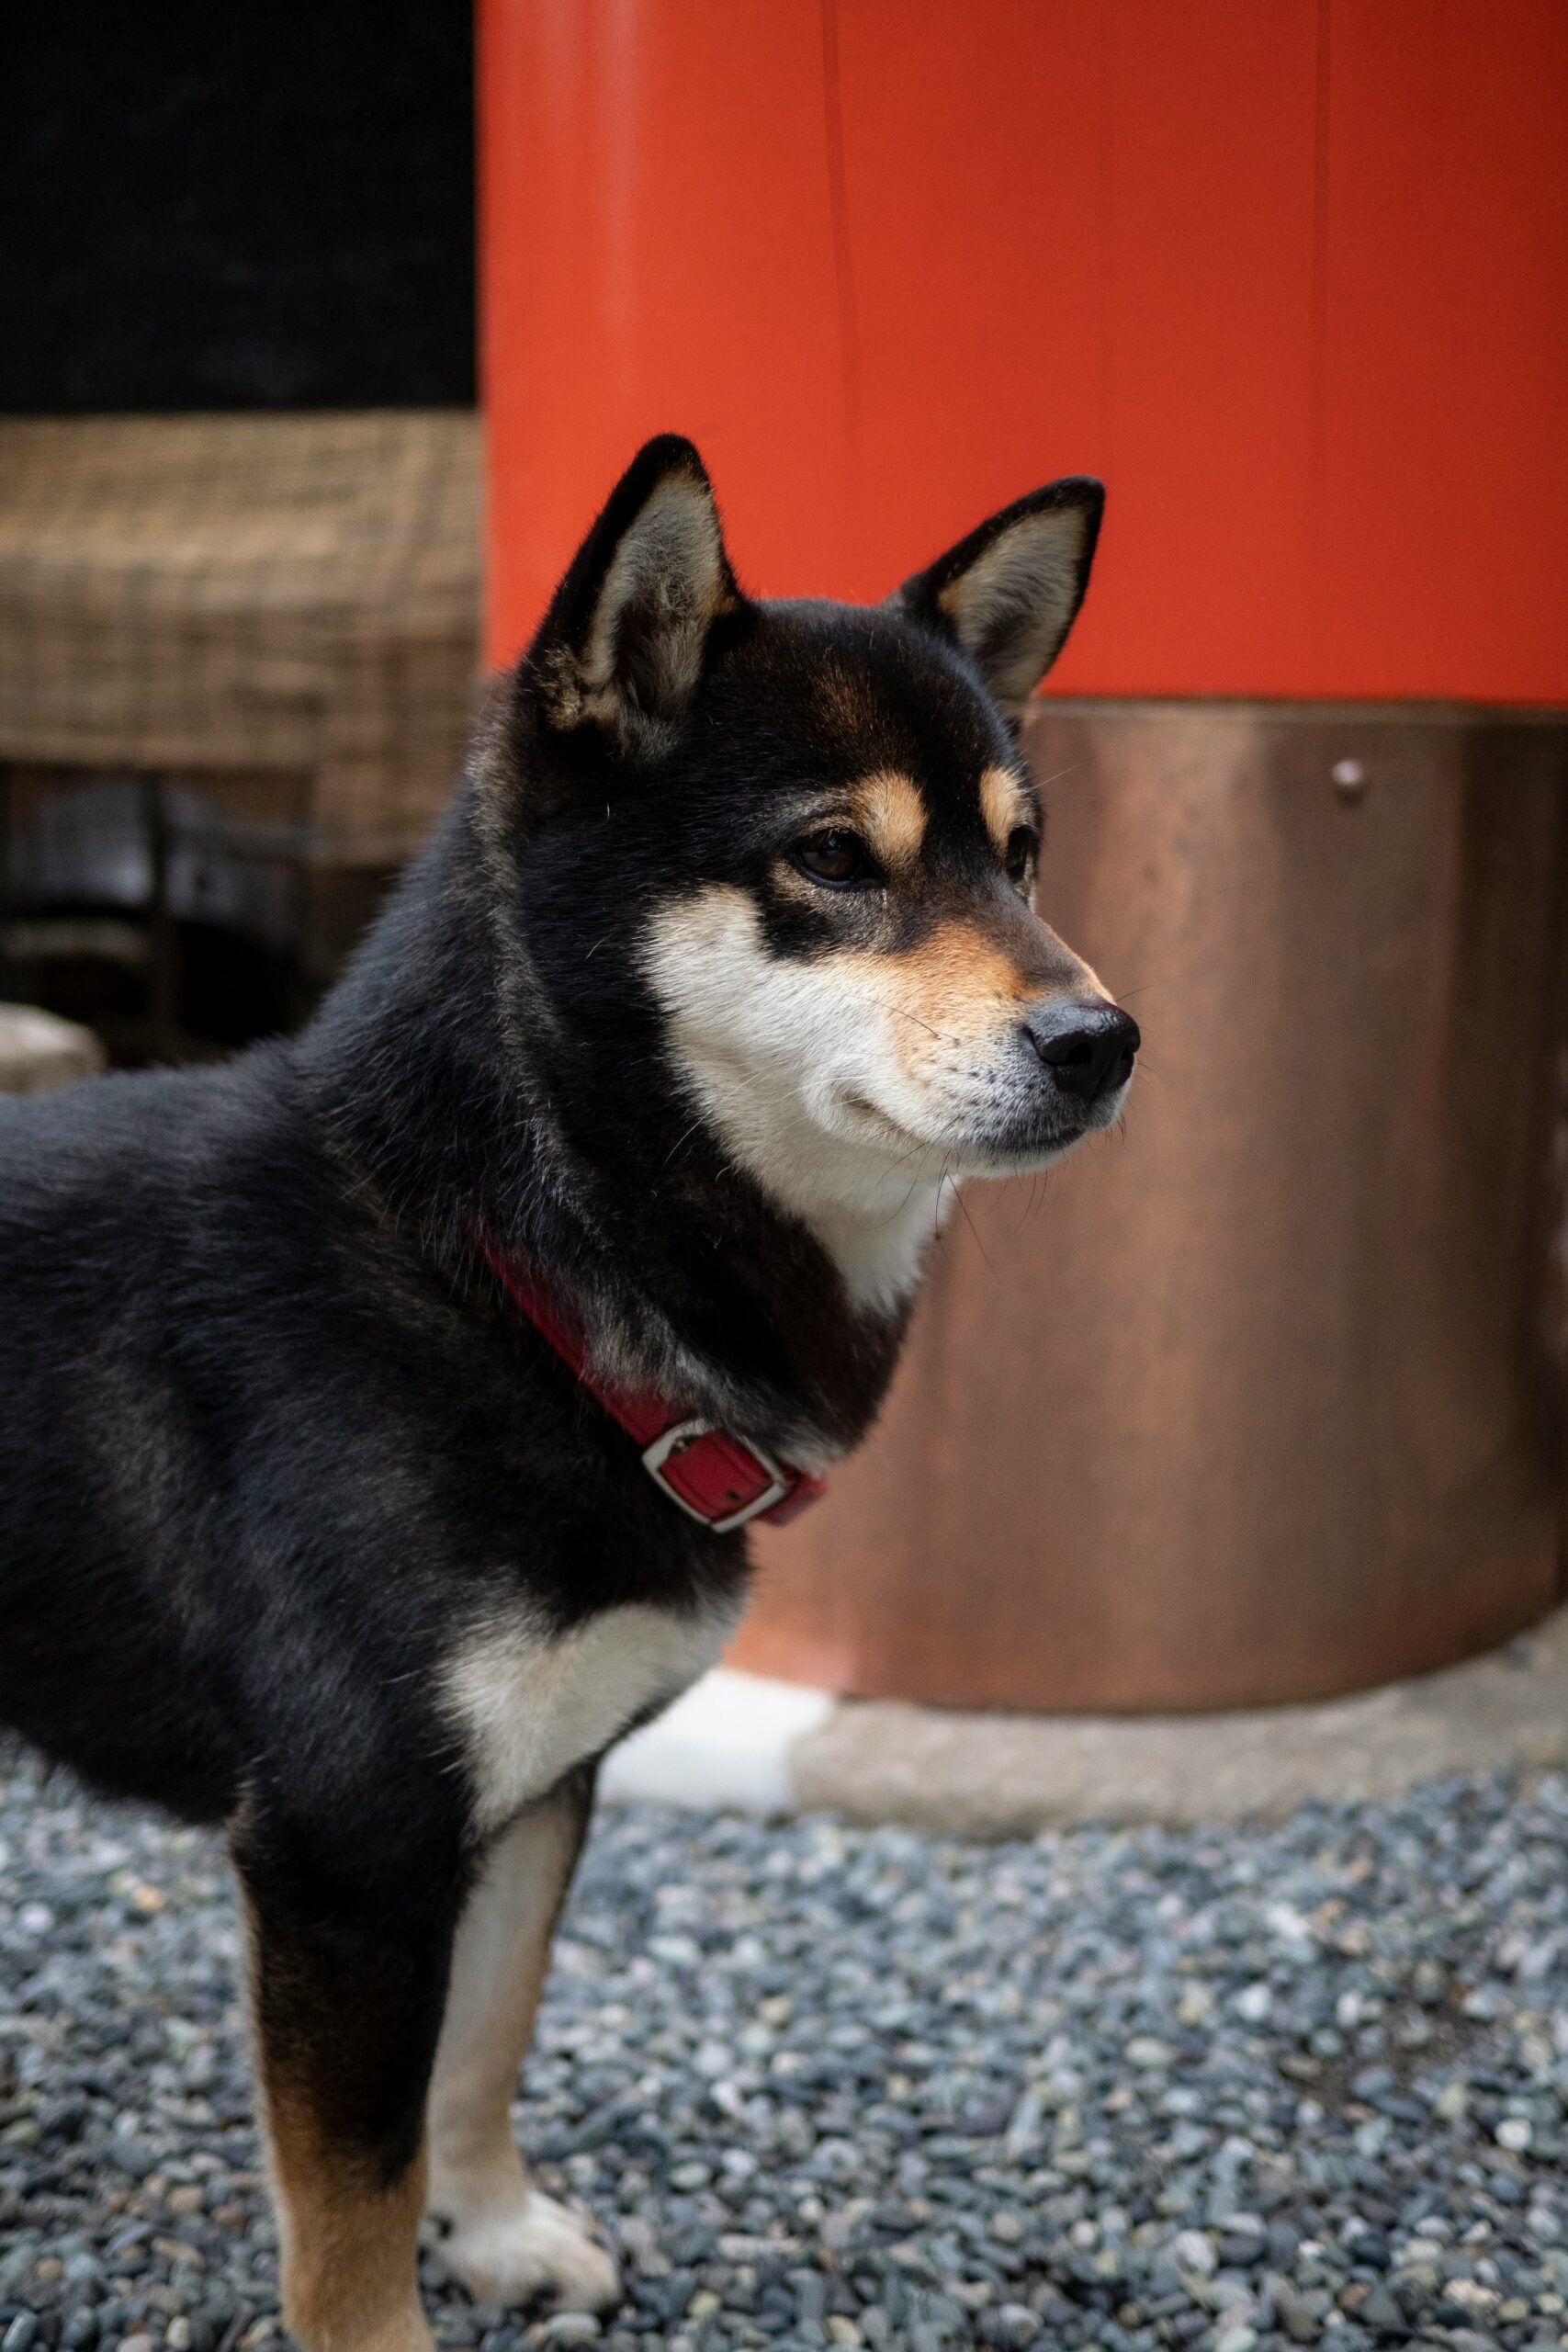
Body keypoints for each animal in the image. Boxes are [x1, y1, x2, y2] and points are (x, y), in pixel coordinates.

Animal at [0, 444, 1128, 2352]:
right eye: (833, 858)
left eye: (1022, 855)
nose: (1103, 1042)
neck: (505, 1272)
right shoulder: (347, 1845)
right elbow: (349, 2207)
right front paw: (395, 2314)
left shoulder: (533, 1789)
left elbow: (486, 2042)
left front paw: (497, 2230)